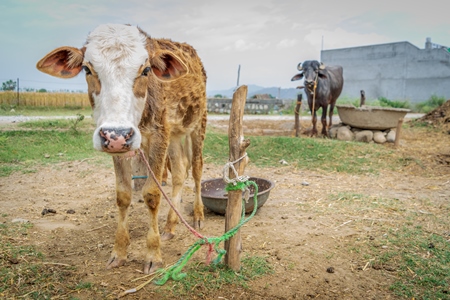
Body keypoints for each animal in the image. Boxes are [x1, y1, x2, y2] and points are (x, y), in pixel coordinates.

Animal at [37, 24, 207, 274]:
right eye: (87, 69)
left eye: (146, 70)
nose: (116, 135)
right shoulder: (123, 147)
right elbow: (123, 195)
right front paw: (119, 252)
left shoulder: (159, 135)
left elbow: (152, 194)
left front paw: (153, 254)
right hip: (175, 134)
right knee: (179, 171)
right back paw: (170, 225)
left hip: (197, 124)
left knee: (195, 168)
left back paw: (197, 215)